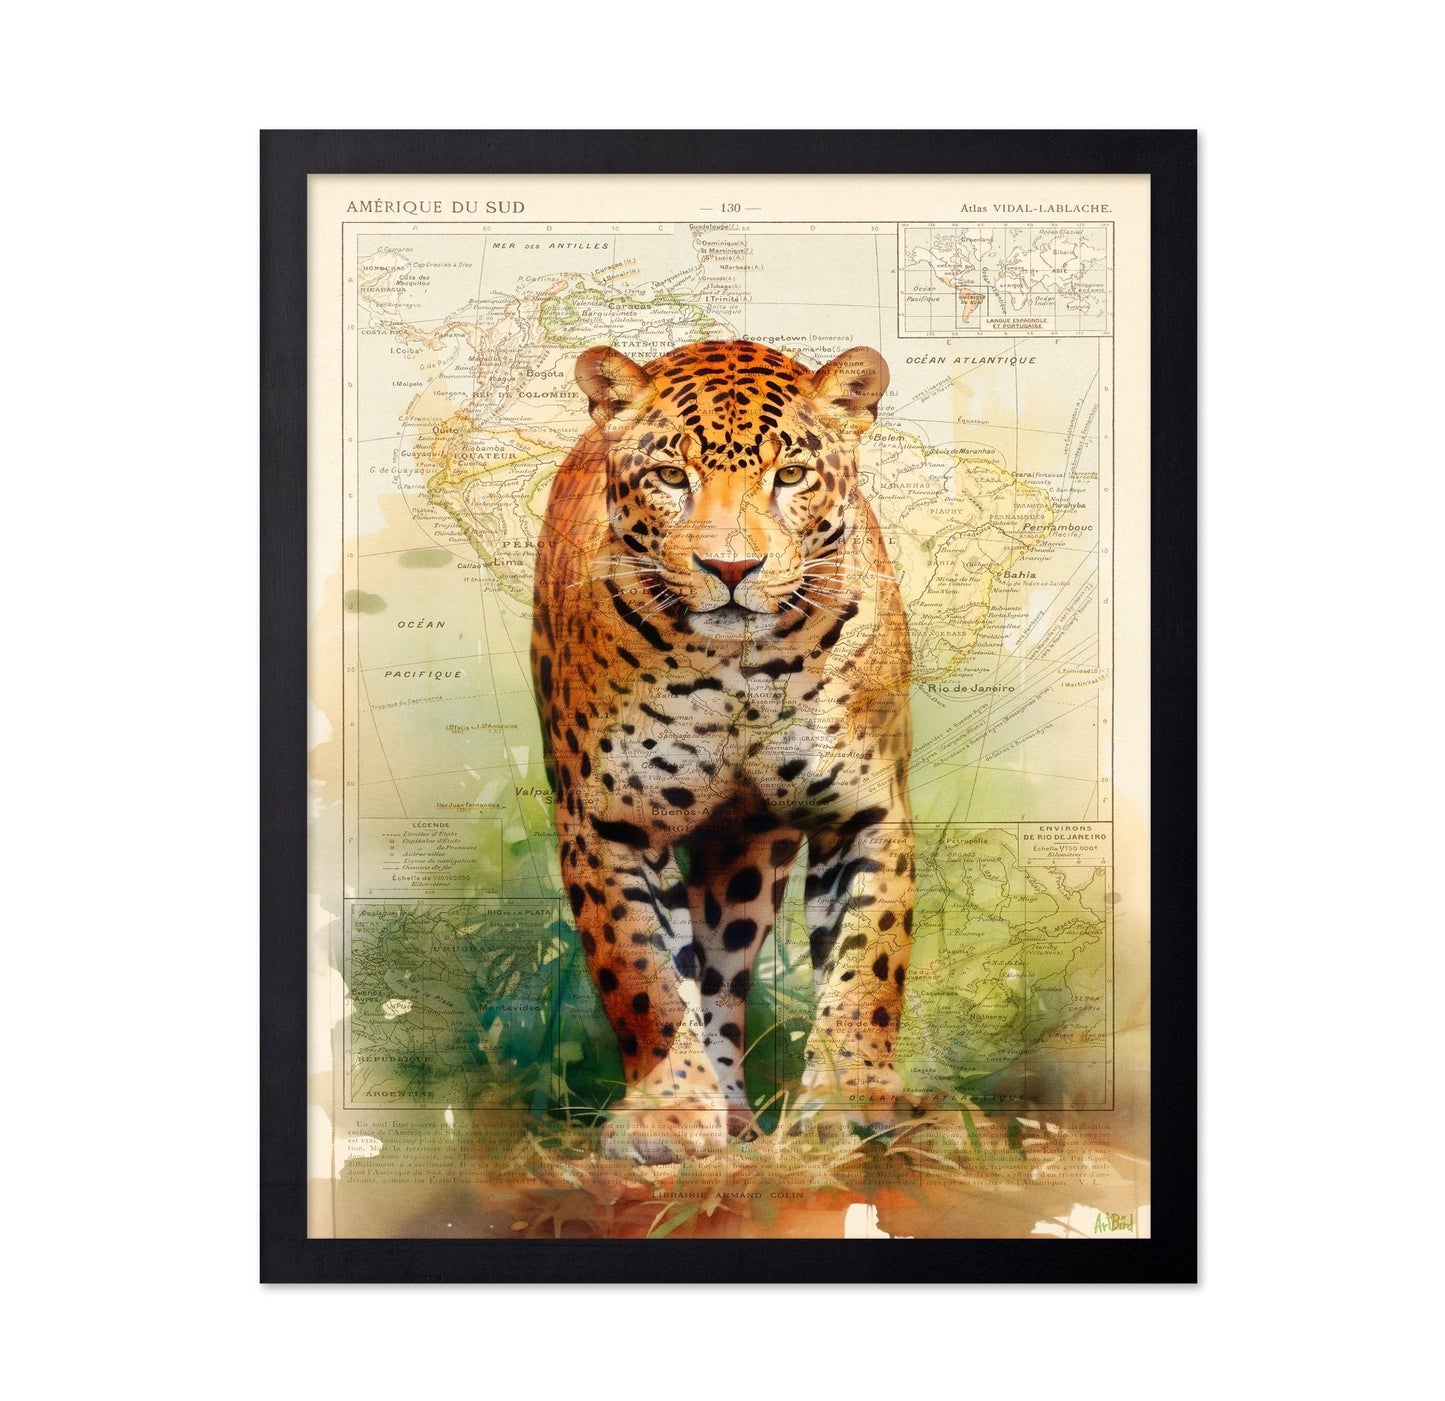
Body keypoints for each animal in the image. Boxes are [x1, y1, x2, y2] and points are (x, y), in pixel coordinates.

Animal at [531, 339, 914, 1163]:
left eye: (790, 476)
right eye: (672, 477)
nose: (732, 571)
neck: (743, 669)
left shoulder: (867, 811)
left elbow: (868, 967)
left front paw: (852, 1102)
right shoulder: (605, 825)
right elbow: (644, 974)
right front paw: (668, 1115)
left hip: (745, 860)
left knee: (724, 974)